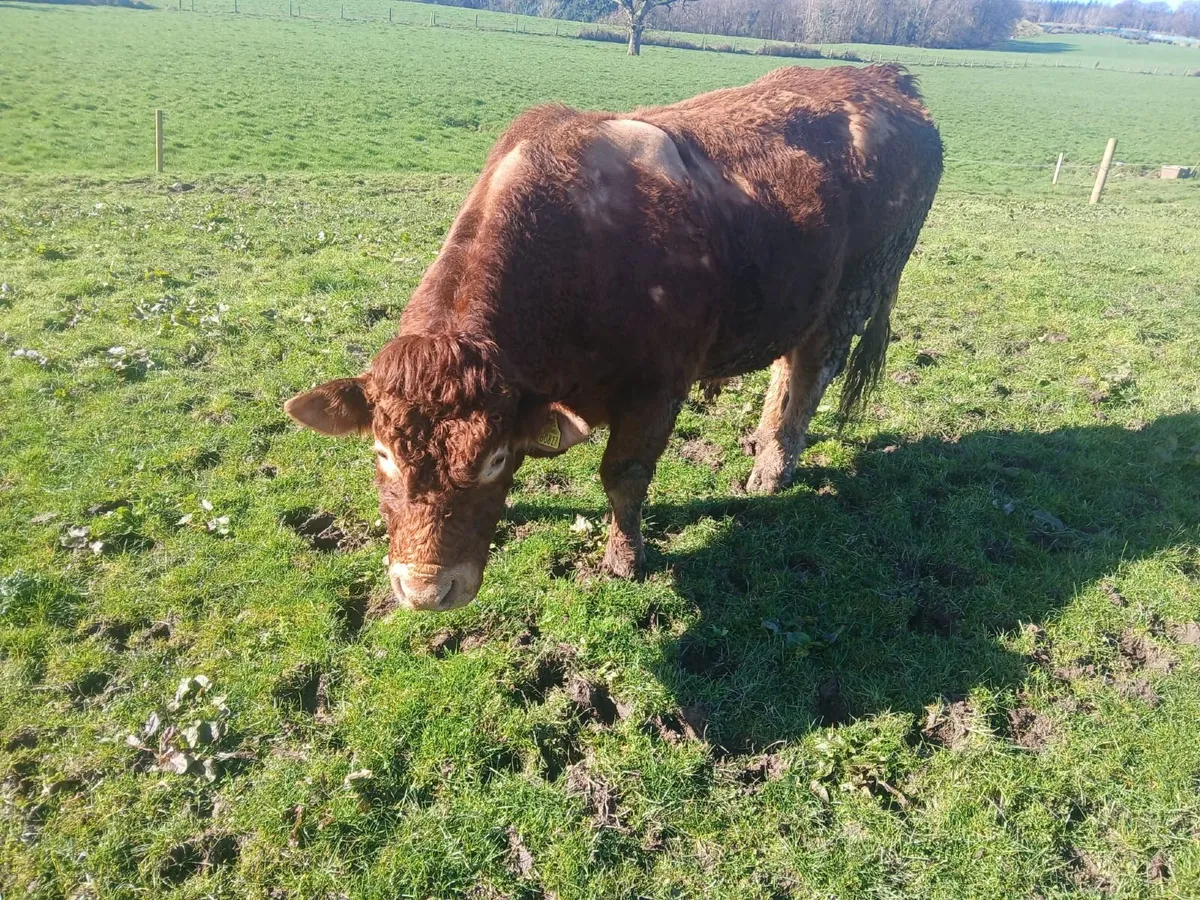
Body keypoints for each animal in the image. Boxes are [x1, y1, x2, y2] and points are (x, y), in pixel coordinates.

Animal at [285, 65, 943, 611]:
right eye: (382, 453)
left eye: (494, 458)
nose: (427, 590)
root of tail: (885, 79)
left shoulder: (656, 389)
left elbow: (624, 477)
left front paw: (623, 559)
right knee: (787, 369)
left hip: (856, 292)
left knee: (810, 374)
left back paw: (772, 468)